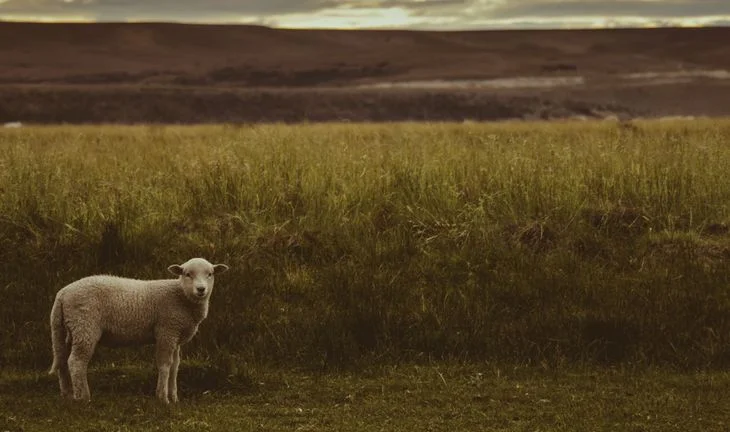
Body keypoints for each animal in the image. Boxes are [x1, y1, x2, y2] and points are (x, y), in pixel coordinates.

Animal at [48, 257, 229, 403]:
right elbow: (165, 365)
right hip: (85, 326)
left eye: (210, 274)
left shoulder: (176, 336)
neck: (180, 295)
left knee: (62, 361)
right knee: (76, 362)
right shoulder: (166, 331)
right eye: (187, 274)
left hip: (65, 330)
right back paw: (83, 398)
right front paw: (163, 398)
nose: (201, 289)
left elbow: (175, 366)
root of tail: (62, 294)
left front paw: (174, 398)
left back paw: (67, 395)